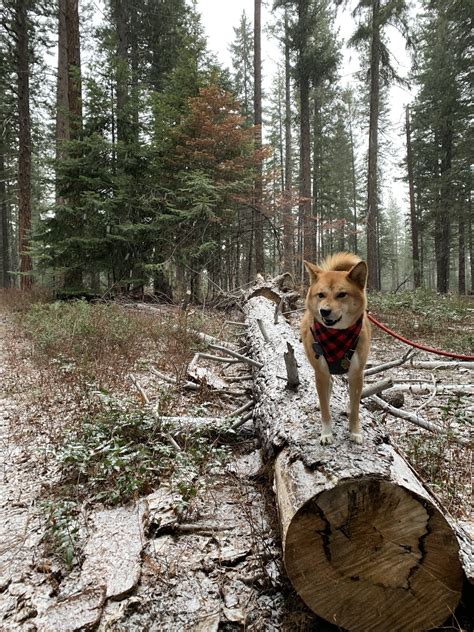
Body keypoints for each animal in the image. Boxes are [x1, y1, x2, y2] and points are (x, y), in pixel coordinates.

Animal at [300, 252, 370, 444]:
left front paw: (355, 431)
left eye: (342, 294)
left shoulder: (356, 373)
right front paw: (326, 433)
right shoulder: (321, 372)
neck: (336, 336)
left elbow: (356, 408)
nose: (324, 311)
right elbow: (325, 410)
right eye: (321, 295)